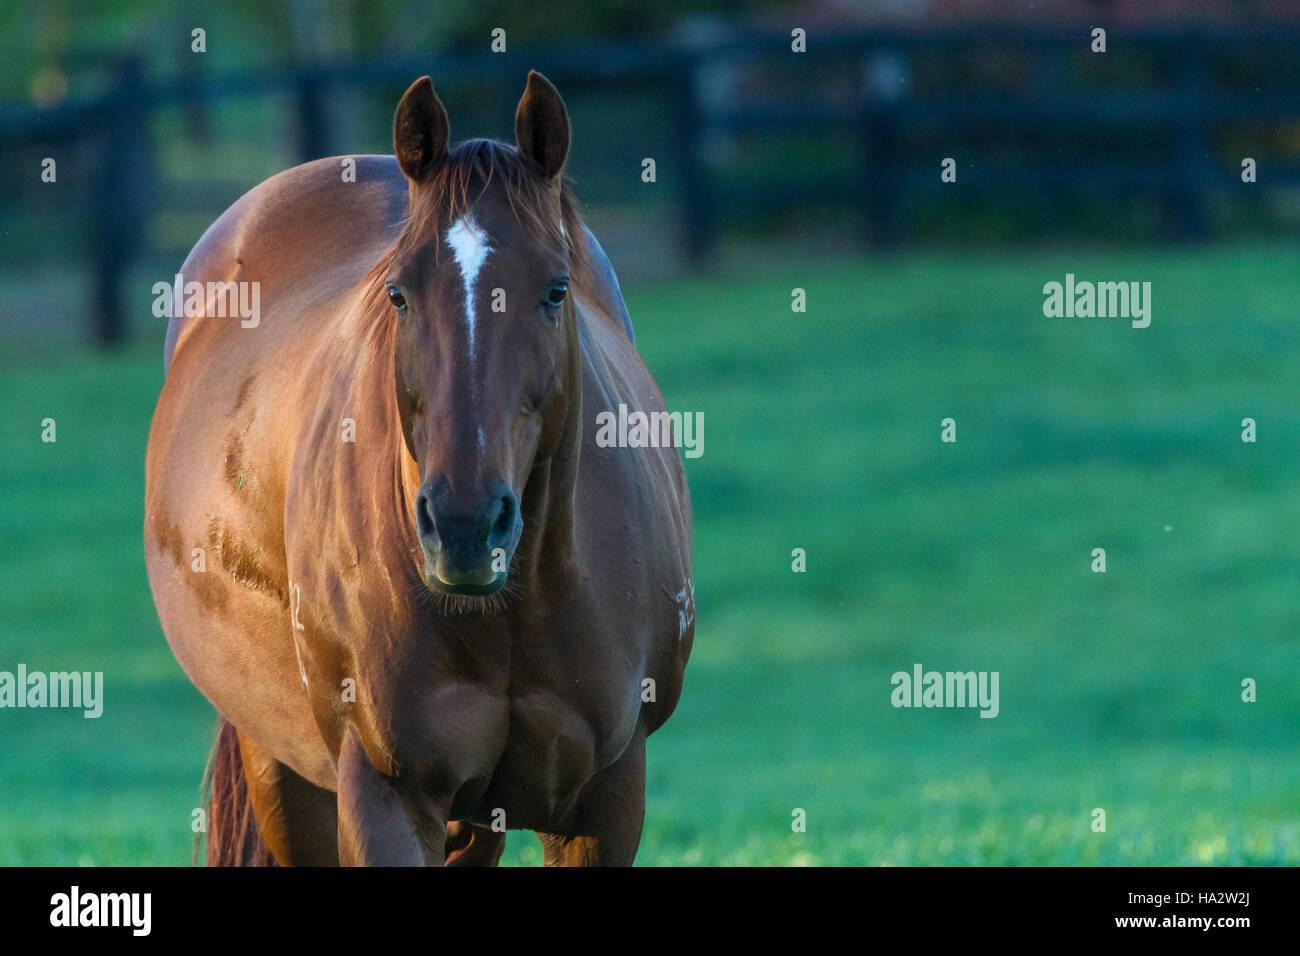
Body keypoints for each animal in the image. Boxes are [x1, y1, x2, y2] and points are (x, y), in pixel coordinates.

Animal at [144, 72, 694, 866]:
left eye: (556, 289)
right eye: (399, 293)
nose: (465, 526)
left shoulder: (606, 798)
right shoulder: (388, 796)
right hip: (281, 769)